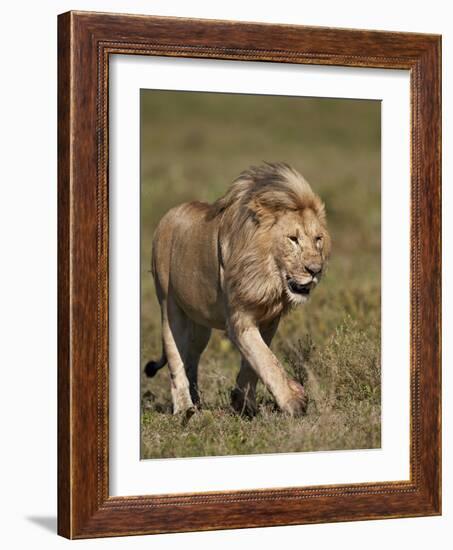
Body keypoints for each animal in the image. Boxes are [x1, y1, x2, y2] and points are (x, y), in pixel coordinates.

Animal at [145, 164, 332, 418]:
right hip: (170, 306)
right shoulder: (239, 319)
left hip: (200, 327)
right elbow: (266, 360)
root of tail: (169, 214)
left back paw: (197, 401)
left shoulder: (269, 320)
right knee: (176, 358)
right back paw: (185, 408)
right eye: (293, 239)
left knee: (192, 357)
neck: (268, 277)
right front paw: (294, 402)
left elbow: (254, 362)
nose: (315, 270)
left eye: (318, 239)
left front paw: (243, 403)